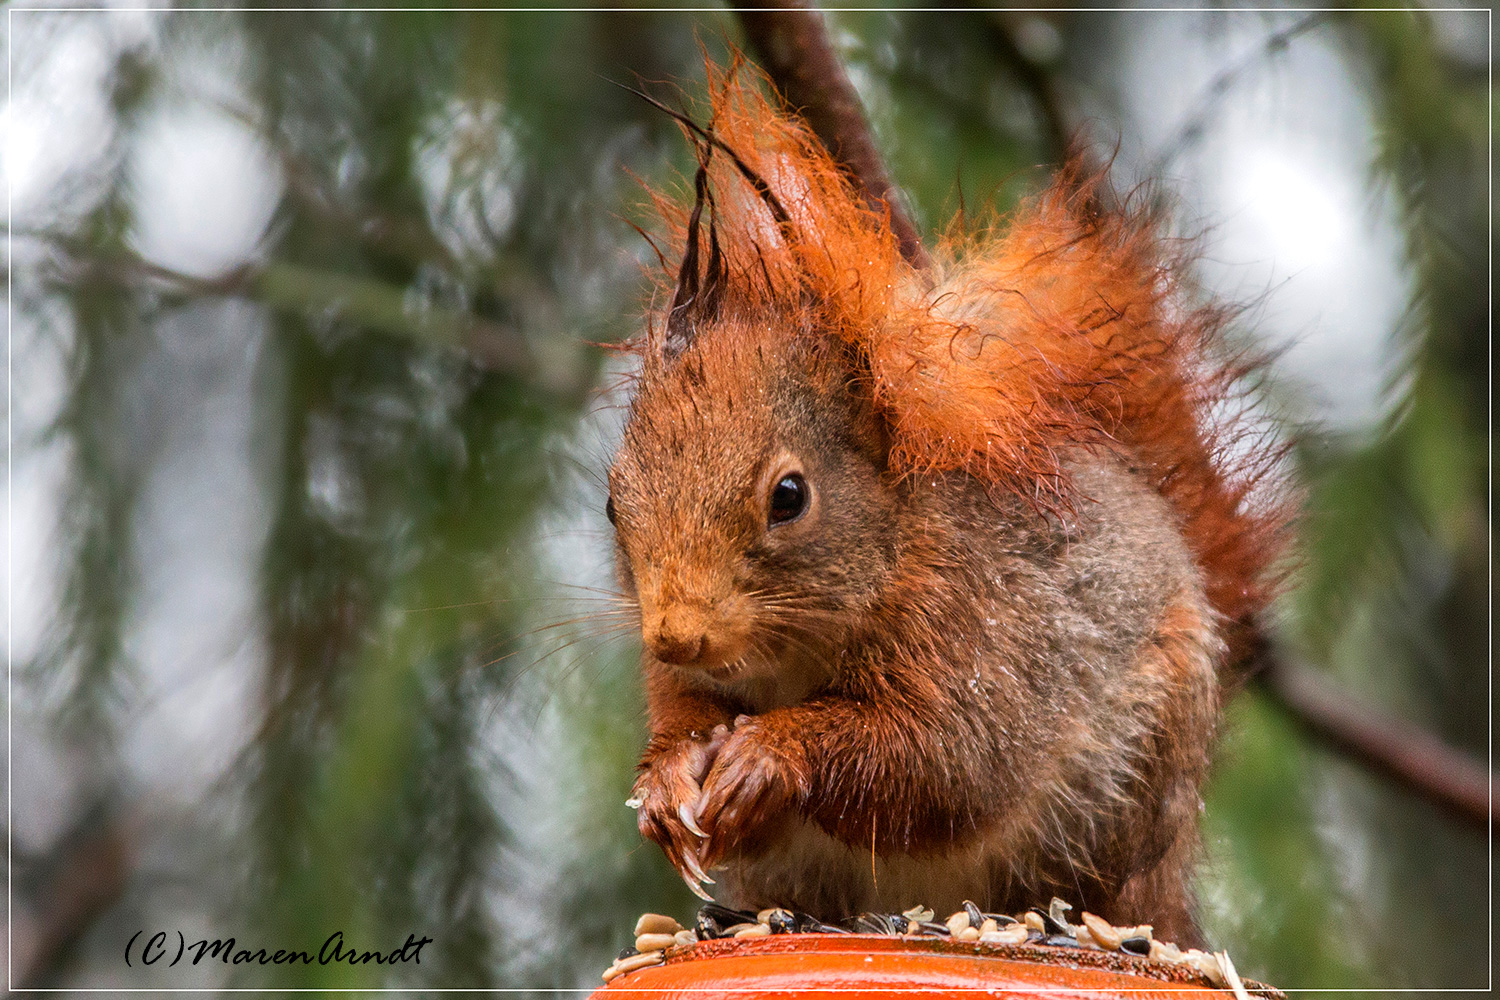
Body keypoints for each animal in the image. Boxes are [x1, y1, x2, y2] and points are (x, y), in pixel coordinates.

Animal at [609, 60, 1290, 947]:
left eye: (789, 497)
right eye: (612, 504)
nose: (675, 635)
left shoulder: (979, 629)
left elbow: (944, 766)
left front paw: (770, 757)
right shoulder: (686, 681)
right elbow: (687, 716)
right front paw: (666, 785)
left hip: (1122, 796)